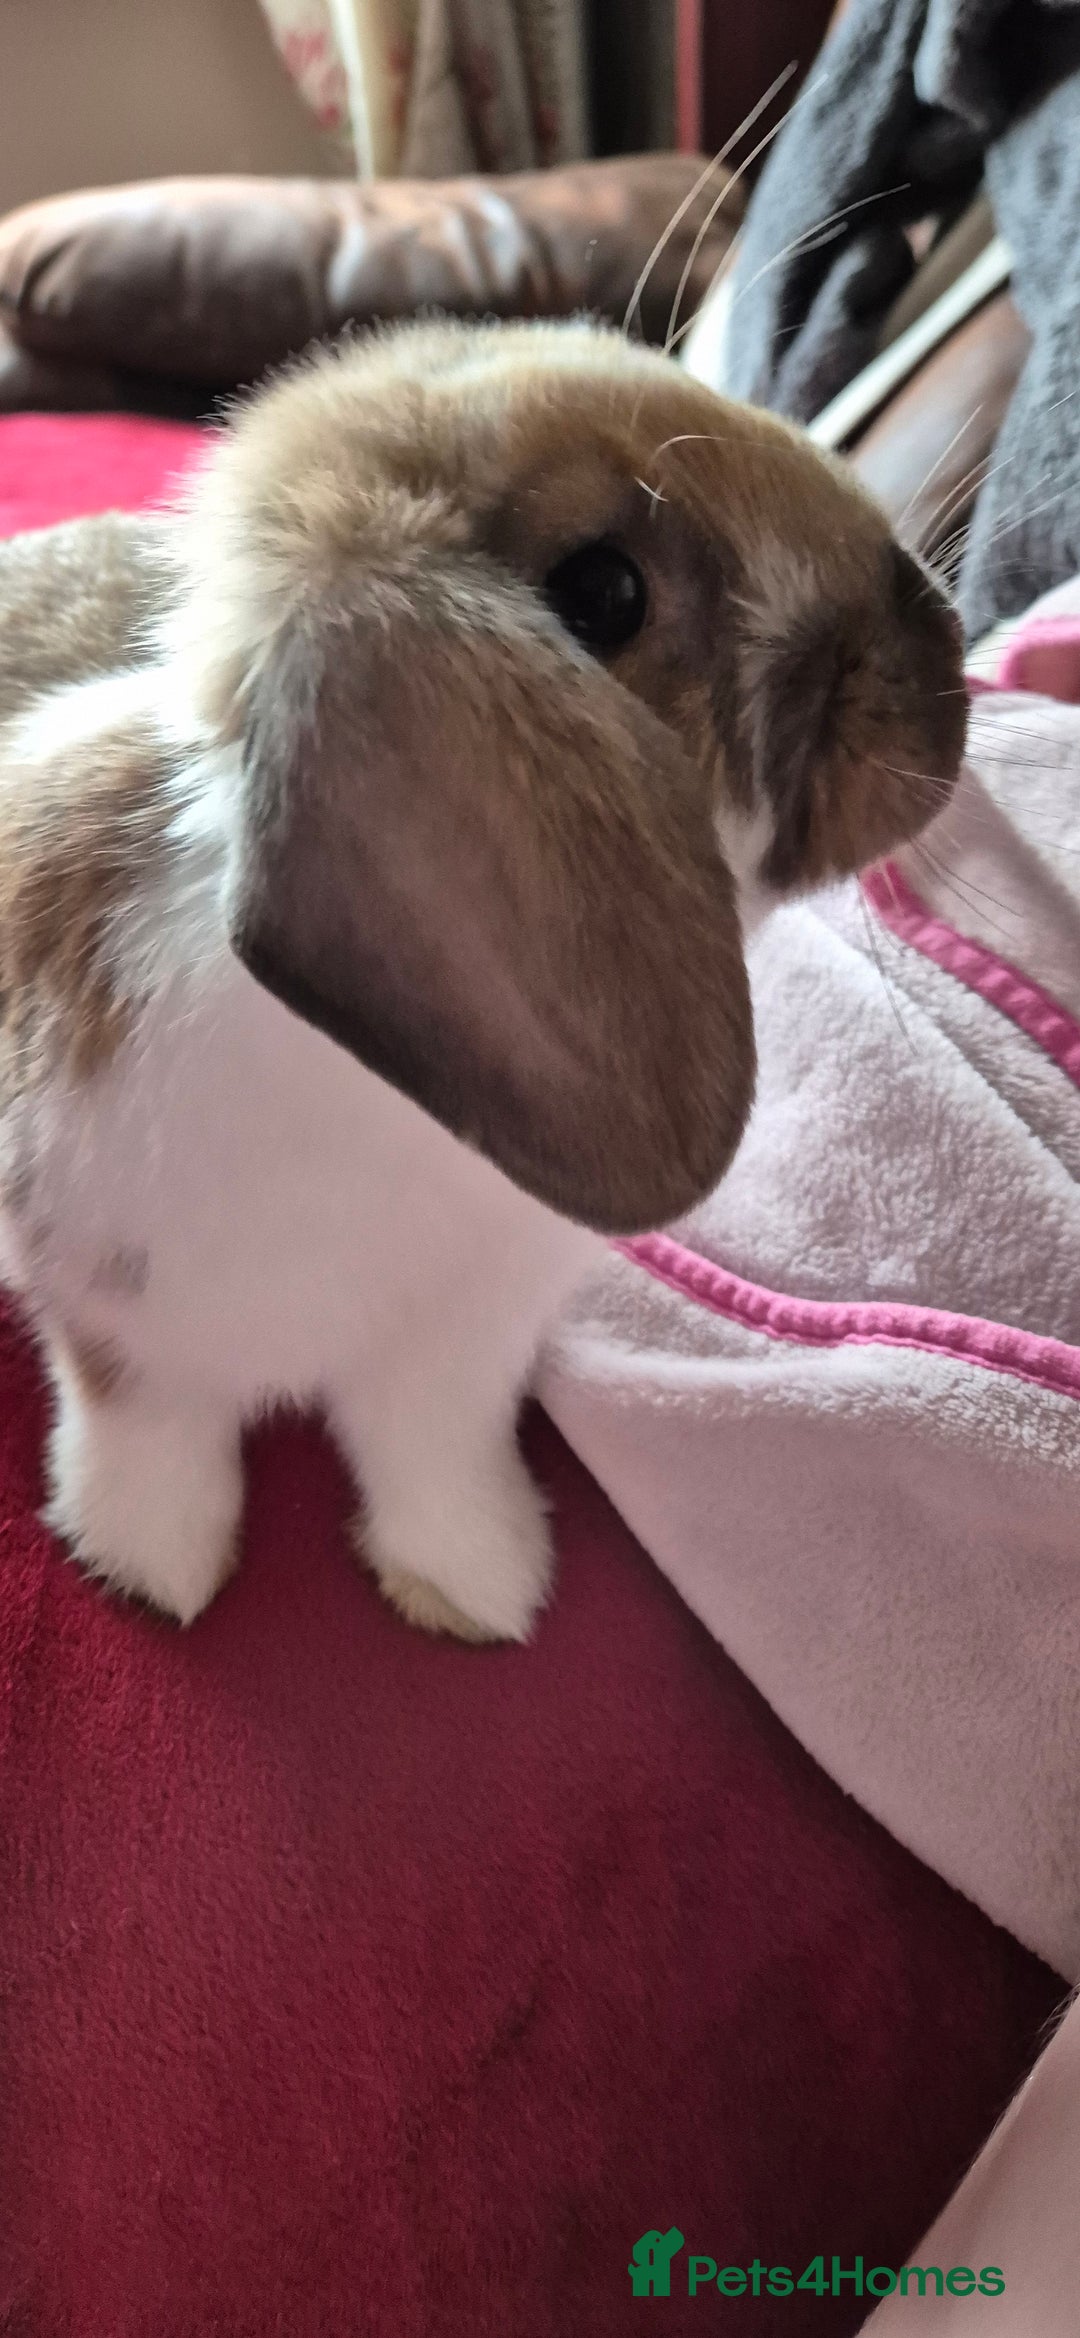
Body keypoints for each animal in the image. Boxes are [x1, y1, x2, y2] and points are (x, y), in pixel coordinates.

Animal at [0, 318, 966, 1642]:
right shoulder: (117, 1311)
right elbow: (147, 1428)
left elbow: (432, 1450)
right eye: (604, 594)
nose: (946, 652)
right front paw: (152, 1568)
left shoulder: (462, 1346)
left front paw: (475, 1587)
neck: (371, 1098)